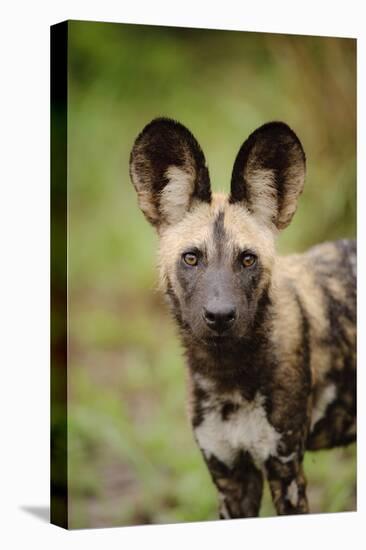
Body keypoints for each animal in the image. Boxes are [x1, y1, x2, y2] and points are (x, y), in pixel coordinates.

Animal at [129, 118, 358, 520]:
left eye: (247, 259)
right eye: (191, 258)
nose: (220, 316)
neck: (227, 375)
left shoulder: (286, 472)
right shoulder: (231, 478)